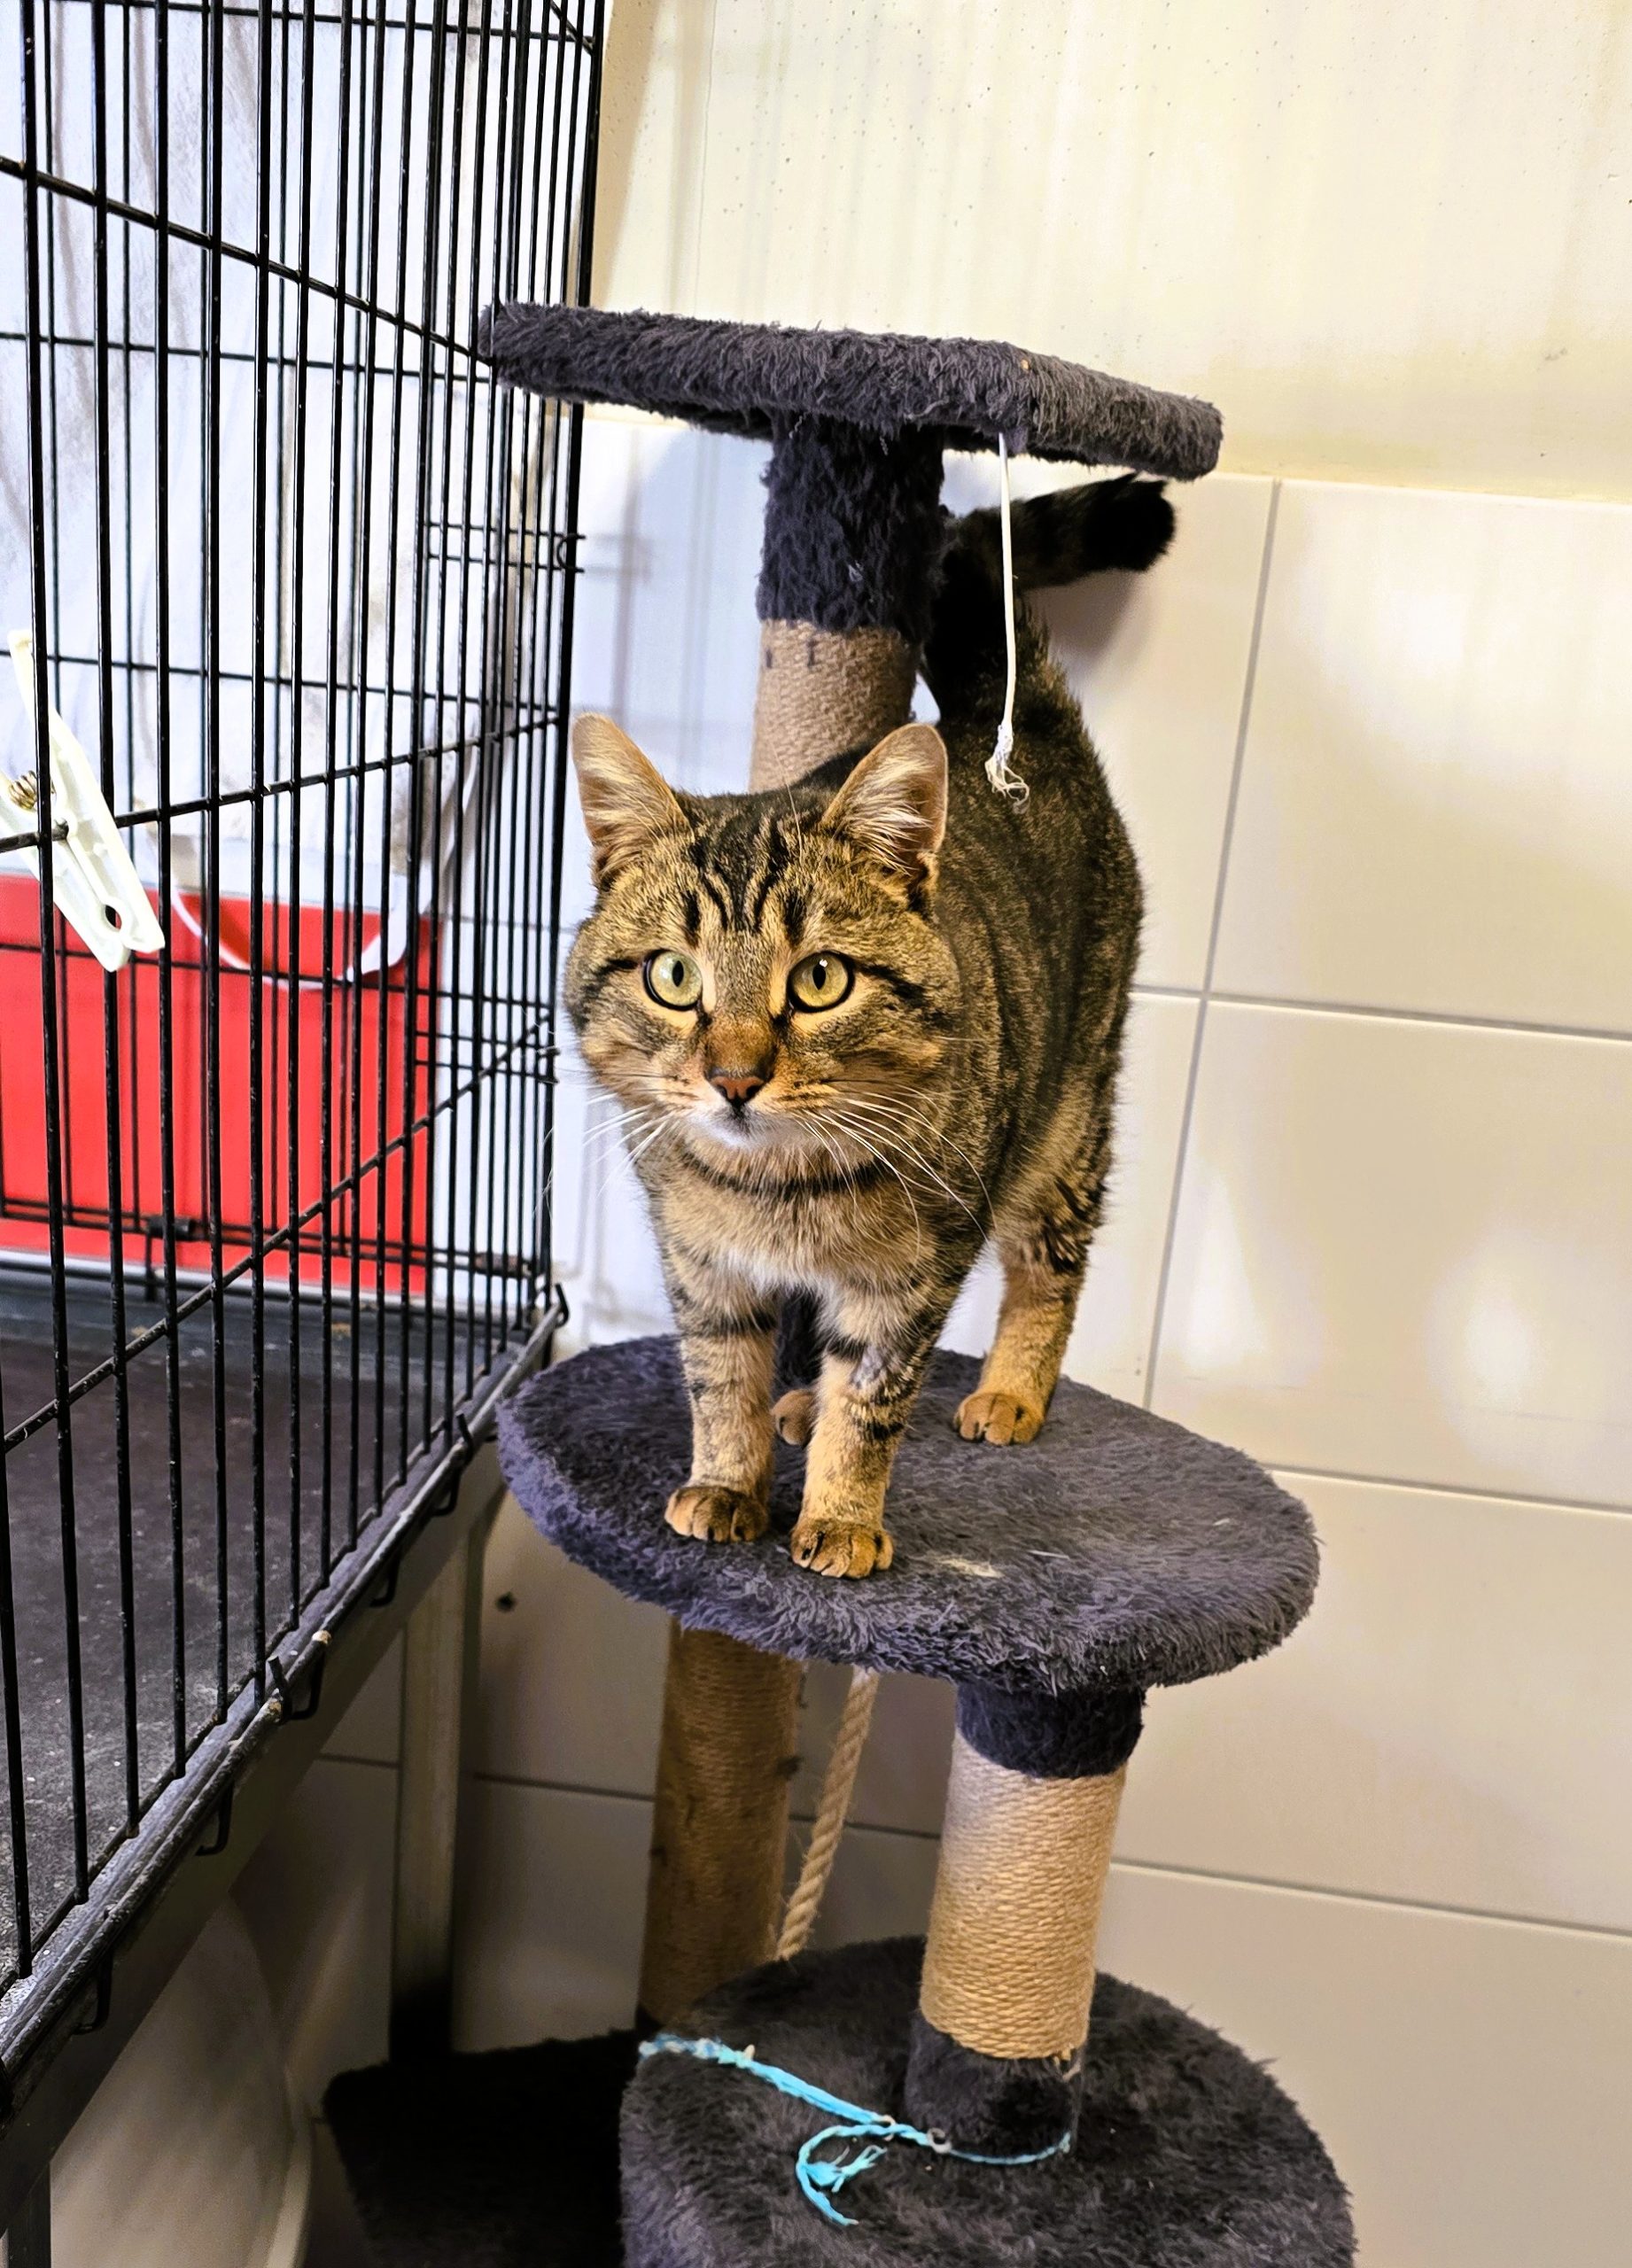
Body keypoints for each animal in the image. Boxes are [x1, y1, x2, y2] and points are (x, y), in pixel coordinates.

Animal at [566, 475, 1172, 1578]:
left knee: (1050, 1268)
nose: (734, 1078)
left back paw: (1010, 1391)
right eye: (674, 976)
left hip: (1067, 1123)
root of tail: (997, 720)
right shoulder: (699, 1262)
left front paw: (842, 1516)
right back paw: (799, 1403)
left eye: (819, 980)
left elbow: (875, 1393)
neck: (774, 1187)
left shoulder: (915, 1271)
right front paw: (729, 1483)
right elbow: (720, 1379)